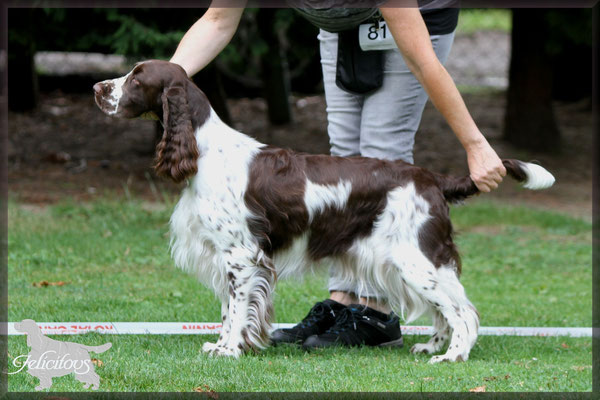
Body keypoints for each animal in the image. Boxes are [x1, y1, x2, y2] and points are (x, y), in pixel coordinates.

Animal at [91, 60, 556, 362]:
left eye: (136, 77)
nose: (97, 89)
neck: (206, 149)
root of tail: (431, 178)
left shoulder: (240, 255)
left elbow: (237, 309)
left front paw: (228, 350)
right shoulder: (228, 256)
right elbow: (228, 309)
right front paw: (227, 344)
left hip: (416, 257)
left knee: (463, 312)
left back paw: (452, 356)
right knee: (448, 309)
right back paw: (432, 345)